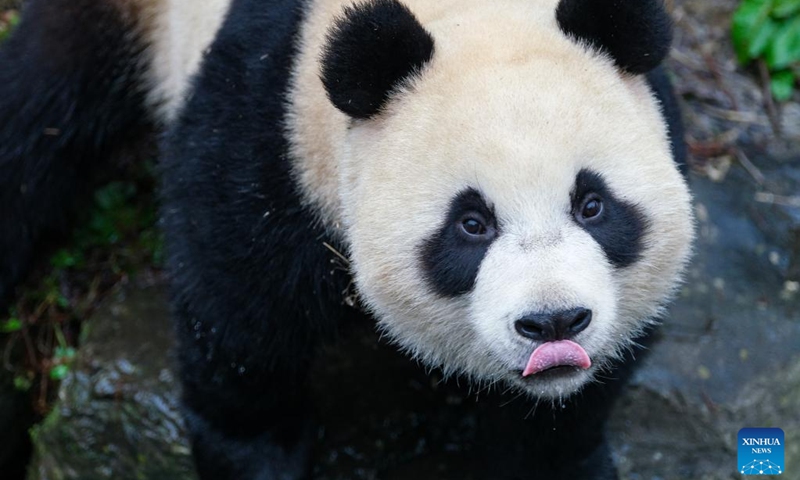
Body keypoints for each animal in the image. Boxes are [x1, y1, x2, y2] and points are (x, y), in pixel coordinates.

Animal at [0, 0, 692, 478]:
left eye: (592, 205)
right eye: (472, 224)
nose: (553, 323)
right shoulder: (266, 131)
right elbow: (238, 324)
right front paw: (257, 455)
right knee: (38, 109)